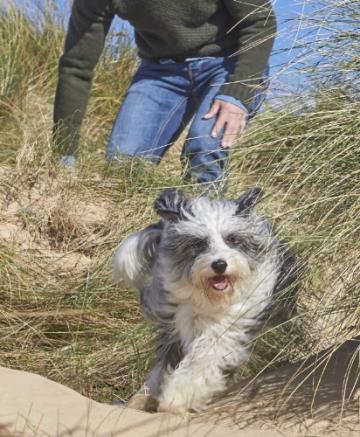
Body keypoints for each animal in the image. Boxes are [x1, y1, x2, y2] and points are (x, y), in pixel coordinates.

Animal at [114, 187, 298, 416]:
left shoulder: (225, 330)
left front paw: (175, 400)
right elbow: (163, 369)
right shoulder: (174, 328)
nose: (219, 265)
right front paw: (145, 400)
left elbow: (200, 362)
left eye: (232, 239)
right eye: (198, 243)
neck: (208, 300)